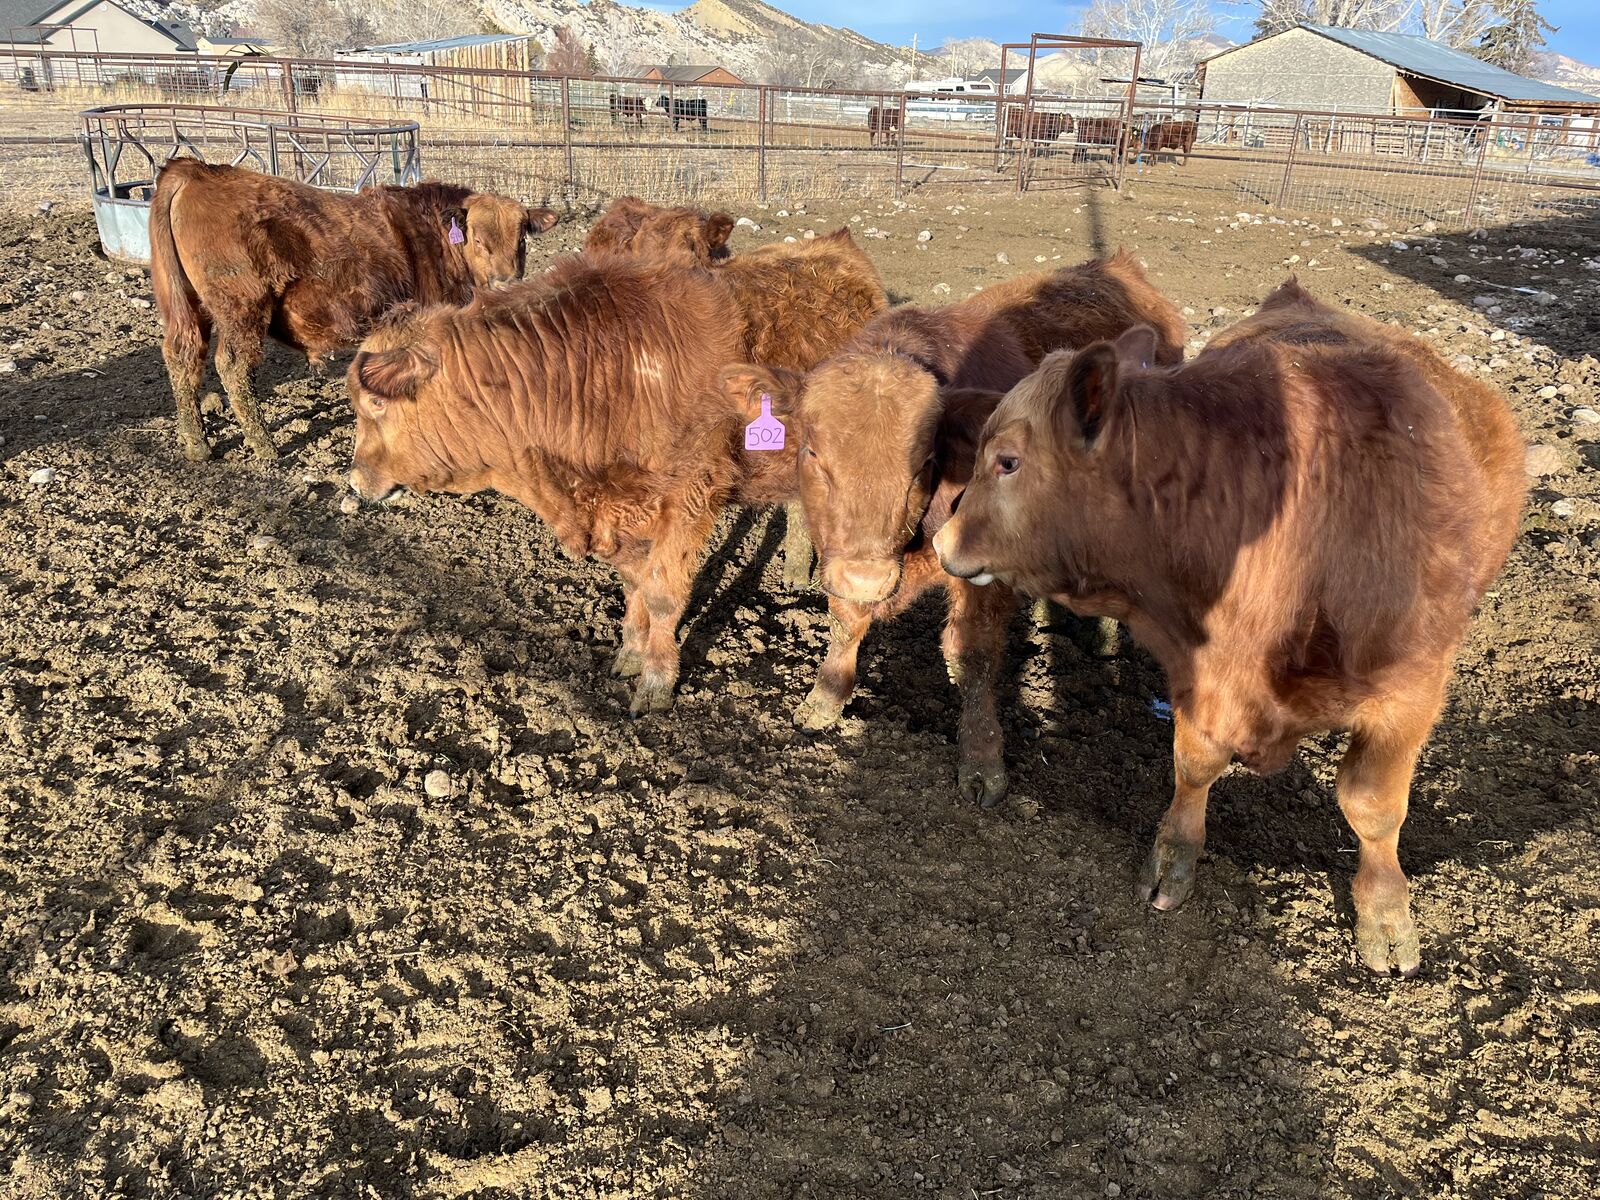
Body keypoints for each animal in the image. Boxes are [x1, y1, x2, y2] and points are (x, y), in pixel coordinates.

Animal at [149, 159, 558, 462]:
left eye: (521, 239)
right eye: (477, 239)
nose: (506, 283)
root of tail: (199, 169)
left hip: (190, 309)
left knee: (183, 358)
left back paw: (197, 444)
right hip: (241, 309)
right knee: (233, 367)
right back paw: (264, 446)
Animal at [719, 249, 1186, 805]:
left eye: (924, 462)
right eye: (812, 452)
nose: (869, 578)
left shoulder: (984, 572)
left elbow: (972, 655)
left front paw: (982, 761)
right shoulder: (843, 555)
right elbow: (845, 618)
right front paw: (825, 699)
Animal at [932, 280, 1526, 975]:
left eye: (1008, 461)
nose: (942, 538)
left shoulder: (1411, 690)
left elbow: (1373, 806)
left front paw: (1385, 914)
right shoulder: (1201, 668)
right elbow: (1194, 763)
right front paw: (1174, 859)